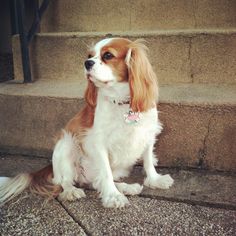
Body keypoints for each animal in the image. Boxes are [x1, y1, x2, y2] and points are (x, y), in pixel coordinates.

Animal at [0, 37, 173, 208]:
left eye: (108, 55)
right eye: (89, 55)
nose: (87, 62)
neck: (122, 102)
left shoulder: (148, 133)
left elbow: (148, 161)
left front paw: (155, 180)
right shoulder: (99, 143)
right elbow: (106, 173)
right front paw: (113, 196)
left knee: (96, 182)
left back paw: (127, 187)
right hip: (67, 144)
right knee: (66, 181)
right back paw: (72, 191)